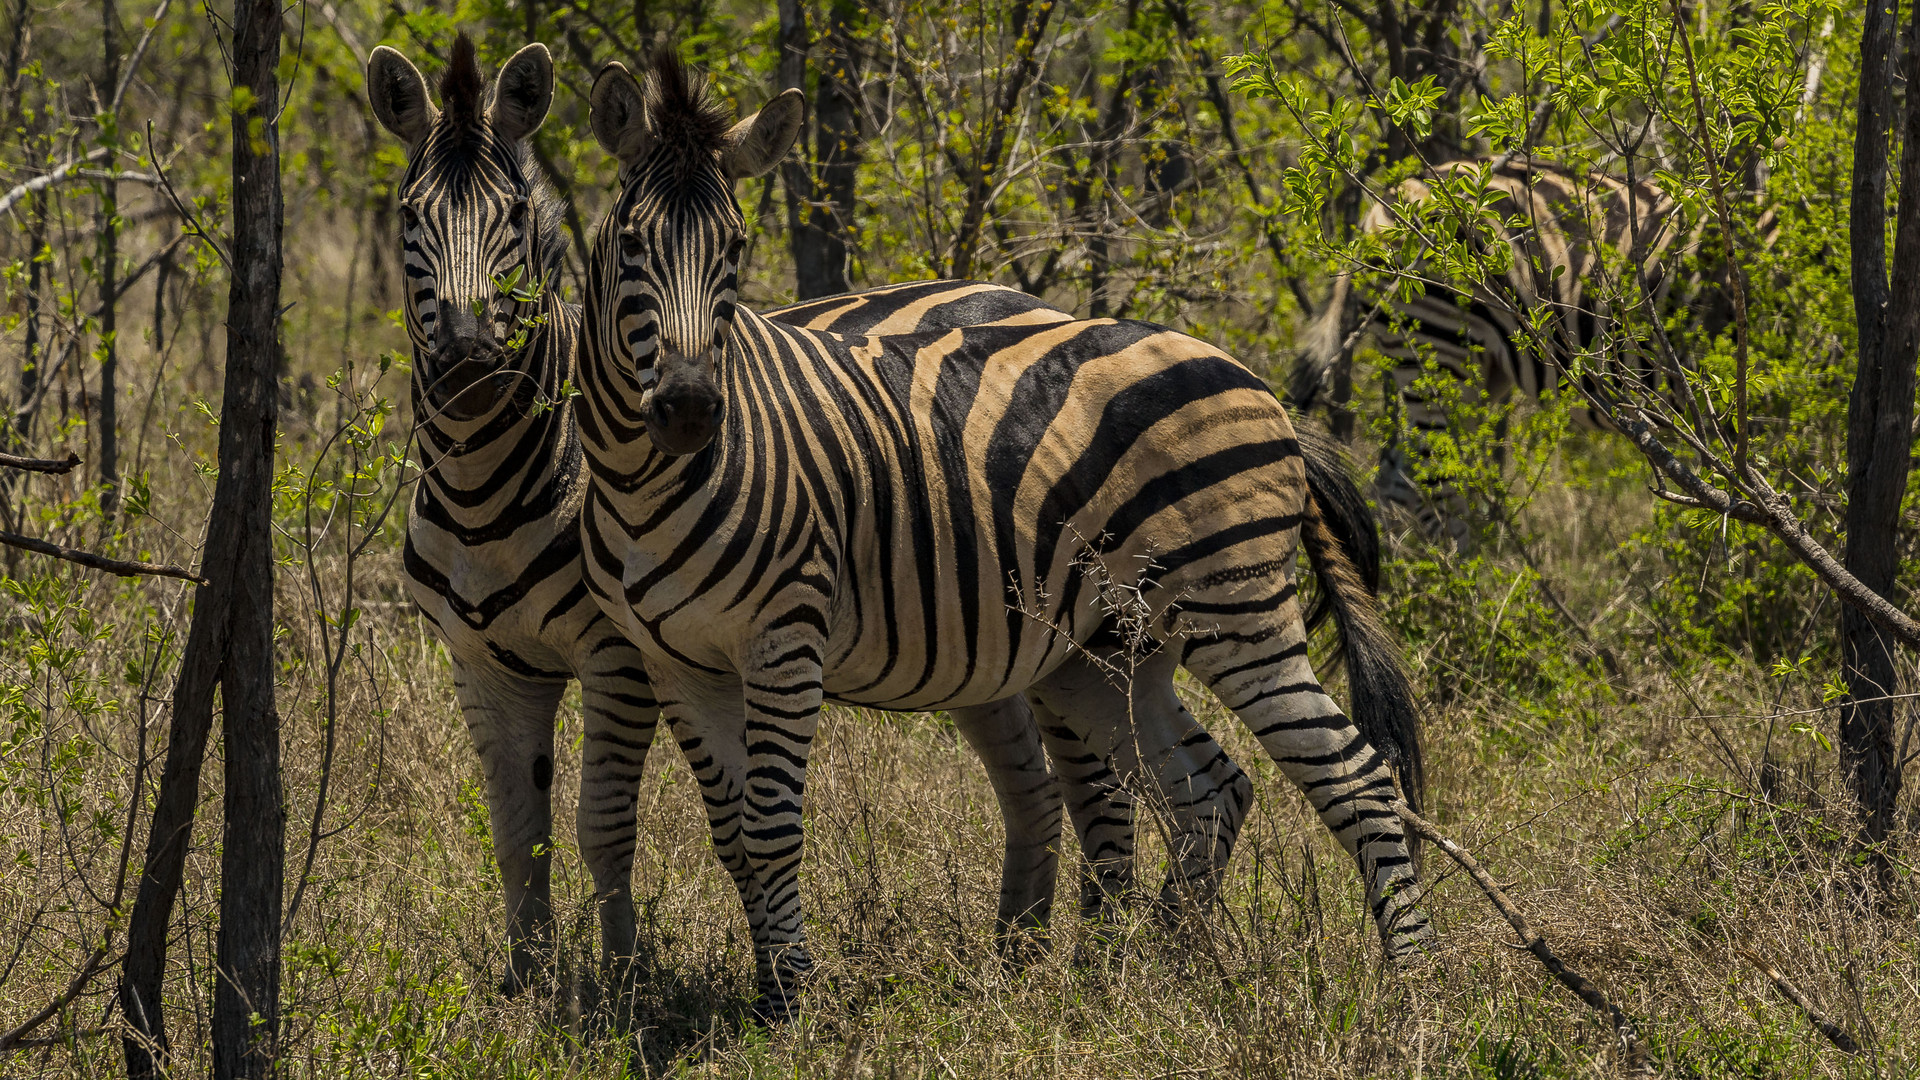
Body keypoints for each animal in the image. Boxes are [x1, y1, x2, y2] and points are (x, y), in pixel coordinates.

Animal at [576, 48, 1436, 1006]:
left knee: (1357, 777)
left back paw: (1413, 986)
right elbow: (731, 836)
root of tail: (1260, 386)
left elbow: (768, 827)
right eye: (628, 245)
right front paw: (767, 991)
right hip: (1111, 654)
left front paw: (794, 997)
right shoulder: (674, 659)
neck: (647, 486)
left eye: (734, 250)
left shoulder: (783, 639)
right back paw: (1168, 970)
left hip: (1237, 608)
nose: (689, 410)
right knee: (1210, 786)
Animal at [1290, 159, 1681, 545]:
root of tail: (1389, 194)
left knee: (1401, 480)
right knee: (1438, 482)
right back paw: (1461, 563)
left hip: (1482, 371)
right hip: (1436, 343)